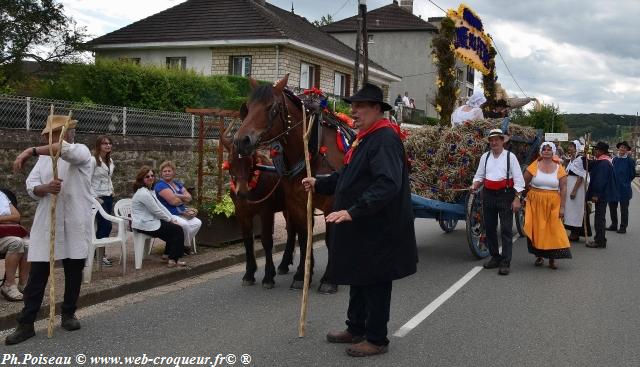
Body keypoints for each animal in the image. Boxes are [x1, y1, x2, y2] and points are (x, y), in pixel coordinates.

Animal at [220, 126, 298, 290]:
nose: (242, 192)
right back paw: (284, 264)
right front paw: (249, 274)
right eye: (230, 162)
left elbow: (267, 240)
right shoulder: (242, 213)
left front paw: (268, 276)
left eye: (250, 162)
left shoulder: (266, 212)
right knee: (291, 231)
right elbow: (247, 241)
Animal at [232, 75, 348, 296]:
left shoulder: (332, 203)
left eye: (271, 107)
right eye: (248, 107)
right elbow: (303, 237)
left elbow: (330, 238)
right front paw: (302, 275)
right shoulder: (296, 202)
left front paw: (328, 280)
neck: (312, 150)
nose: (242, 140)